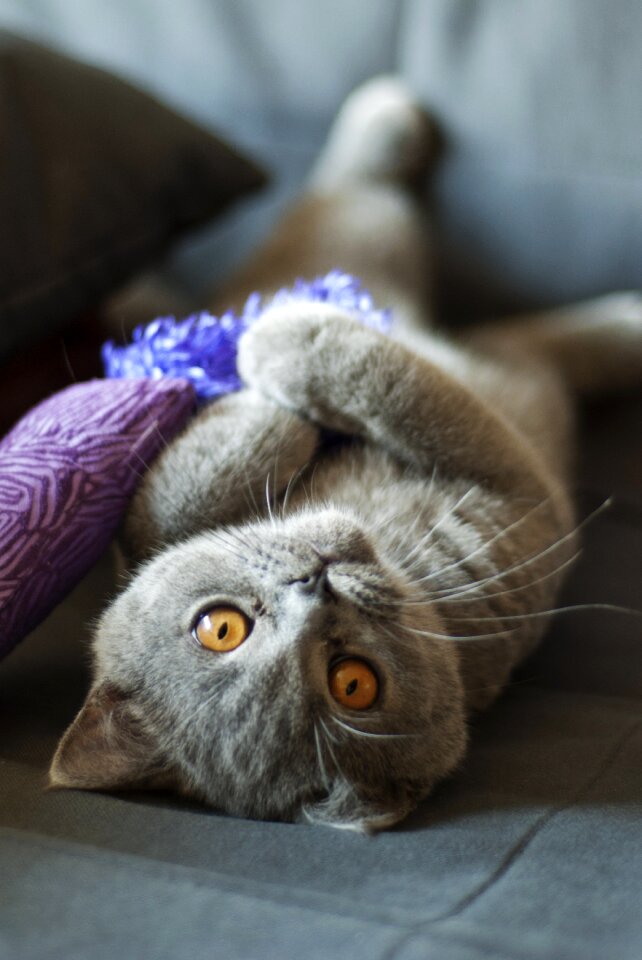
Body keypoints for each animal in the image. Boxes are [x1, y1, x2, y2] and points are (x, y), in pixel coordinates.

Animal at [50, 80, 640, 832]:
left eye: (218, 626)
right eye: (353, 683)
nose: (314, 584)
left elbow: (159, 510)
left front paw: (246, 379)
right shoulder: (518, 486)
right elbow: (395, 381)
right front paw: (273, 350)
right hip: (379, 253)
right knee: (372, 213)